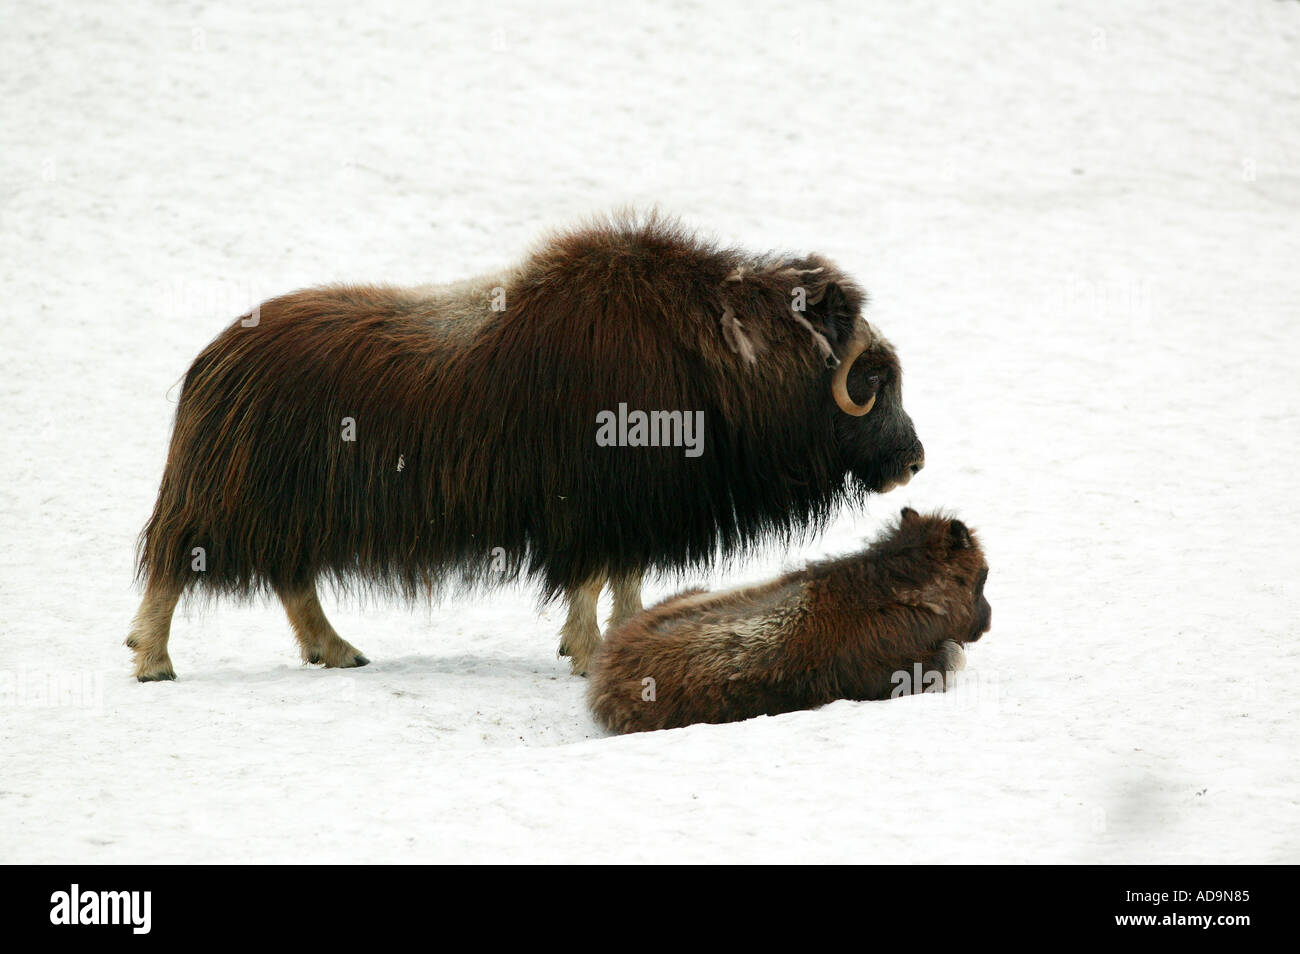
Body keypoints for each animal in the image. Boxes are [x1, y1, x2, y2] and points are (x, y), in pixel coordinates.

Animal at [129, 214, 925, 681]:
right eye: (874, 376)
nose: (913, 461)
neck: (719, 362)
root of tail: (217, 357)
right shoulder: (594, 504)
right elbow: (591, 579)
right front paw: (589, 653)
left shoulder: (631, 510)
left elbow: (623, 579)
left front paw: (620, 638)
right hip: (229, 502)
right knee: (175, 565)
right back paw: (153, 661)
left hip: (295, 511)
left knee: (292, 580)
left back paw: (339, 651)